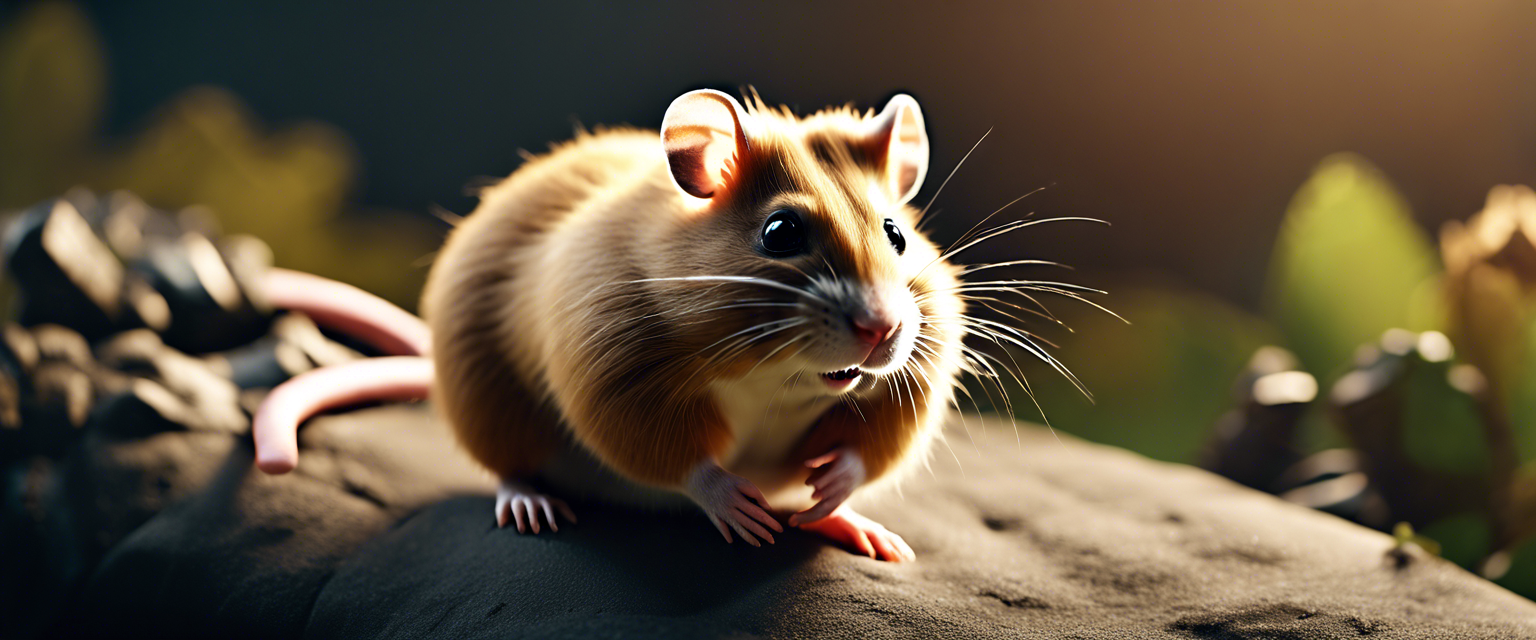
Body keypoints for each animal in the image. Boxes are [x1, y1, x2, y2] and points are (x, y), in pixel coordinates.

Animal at [255, 89, 968, 562]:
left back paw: (844, 523)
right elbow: (659, 448)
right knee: (508, 461)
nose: (881, 330)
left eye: (897, 234)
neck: (775, 373)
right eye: (780, 232)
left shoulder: (918, 370)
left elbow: (874, 441)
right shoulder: (615, 364)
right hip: (484, 401)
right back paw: (530, 501)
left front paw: (837, 485)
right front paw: (728, 499)